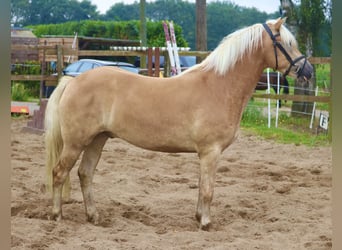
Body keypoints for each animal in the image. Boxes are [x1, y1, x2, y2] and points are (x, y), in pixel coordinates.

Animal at [44, 18, 312, 230]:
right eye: (287, 43)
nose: (308, 71)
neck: (219, 86)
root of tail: (73, 80)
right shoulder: (211, 152)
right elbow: (208, 190)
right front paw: (206, 223)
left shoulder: (206, 154)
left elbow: (202, 187)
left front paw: (198, 217)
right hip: (75, 143)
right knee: (59, 173)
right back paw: (56, 215)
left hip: (97, 140)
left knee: (85, 173)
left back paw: (94, 216)